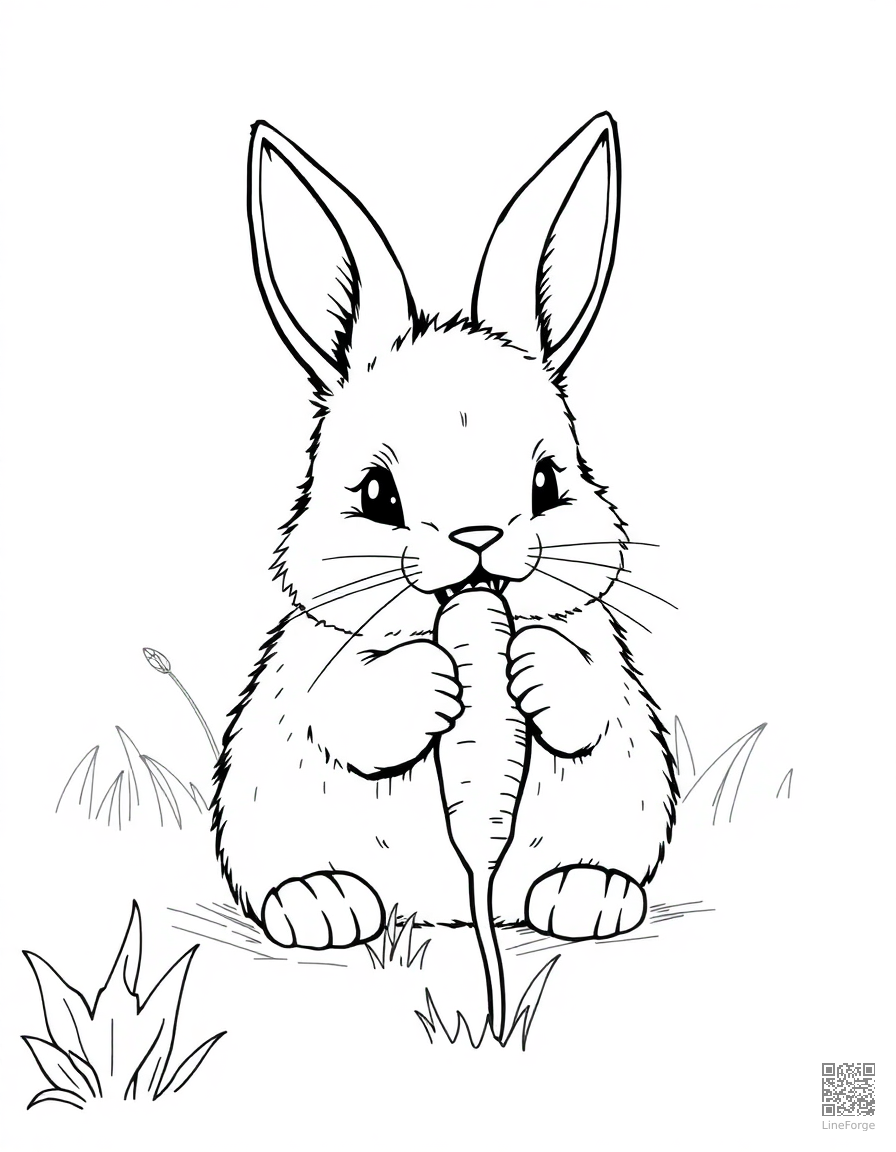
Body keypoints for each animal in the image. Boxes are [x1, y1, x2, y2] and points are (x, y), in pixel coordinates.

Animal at [211, 113, 678, 950]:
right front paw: (431, 682)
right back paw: (321, 905)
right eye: (377, 494)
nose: (478, 536)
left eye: (547, 483)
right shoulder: (320, 668)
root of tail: (460, 907)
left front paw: (531, 666)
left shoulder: (598, 648)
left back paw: (587, 896)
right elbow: (351, 709)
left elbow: (584, 691)